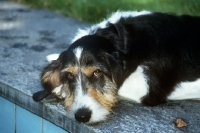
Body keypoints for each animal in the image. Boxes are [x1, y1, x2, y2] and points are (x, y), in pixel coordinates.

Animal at [32, 10, 200, 123]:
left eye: (97, 72)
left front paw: (59, 89)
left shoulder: (149, 87)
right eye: (69, 75)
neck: (123, 41)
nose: (82, 116)